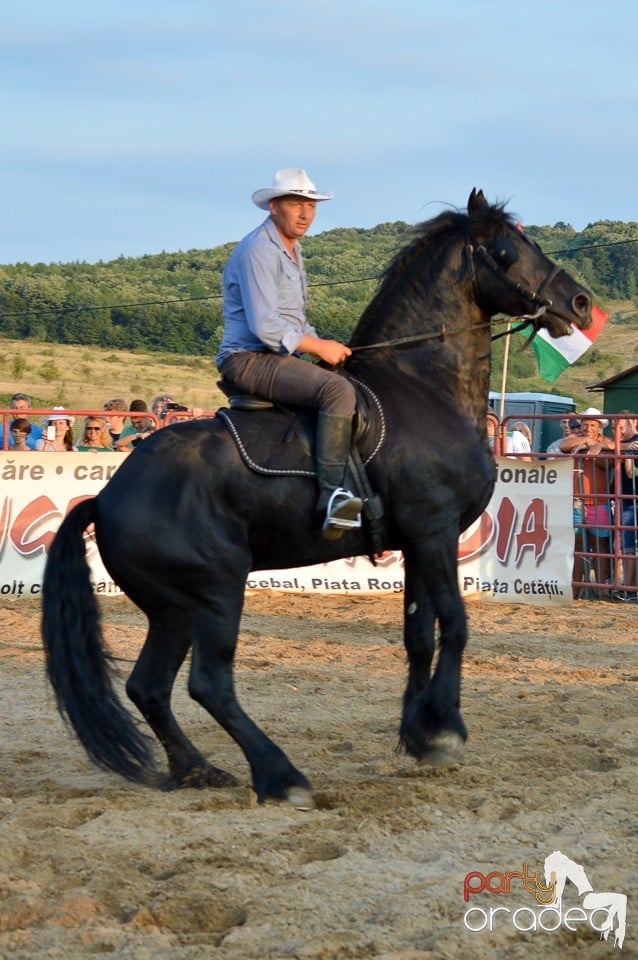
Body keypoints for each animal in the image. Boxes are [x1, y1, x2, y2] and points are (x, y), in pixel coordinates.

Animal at [41, 191, 596, 808]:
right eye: (506, 250)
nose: (579, 302)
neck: (422, 385)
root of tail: (108, 496)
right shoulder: (435, 530)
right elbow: (454, 624)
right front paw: (446, 731)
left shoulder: (416, 540)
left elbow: (417, 636)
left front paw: (418, 734)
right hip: (215, 593)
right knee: (209, 684)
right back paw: (280, 776)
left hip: (172, 610)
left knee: (149, 687)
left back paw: (198, 770)